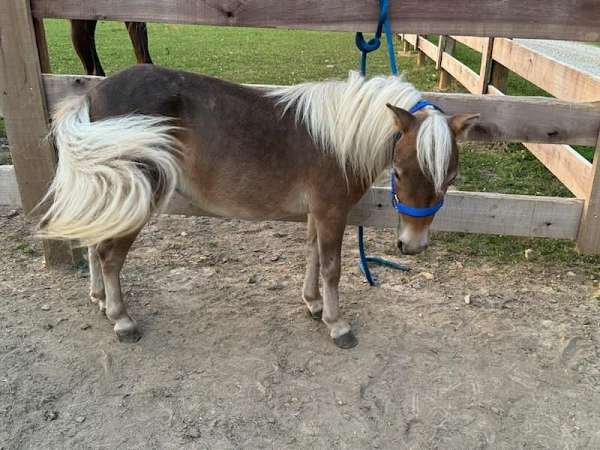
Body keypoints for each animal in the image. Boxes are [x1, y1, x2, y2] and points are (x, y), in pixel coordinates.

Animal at [37, 66, 478, 348]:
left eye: (449, 178)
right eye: (399, 173)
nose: (413, 246)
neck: (337, 138)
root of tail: (92, 94)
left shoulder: (317, 215)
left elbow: (312, 256)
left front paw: (313, 304)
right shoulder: (332, 212)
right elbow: (332, 268)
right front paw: (337, 325)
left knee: (97, 241)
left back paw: (98, 298)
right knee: (110, 254)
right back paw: (121, 318)